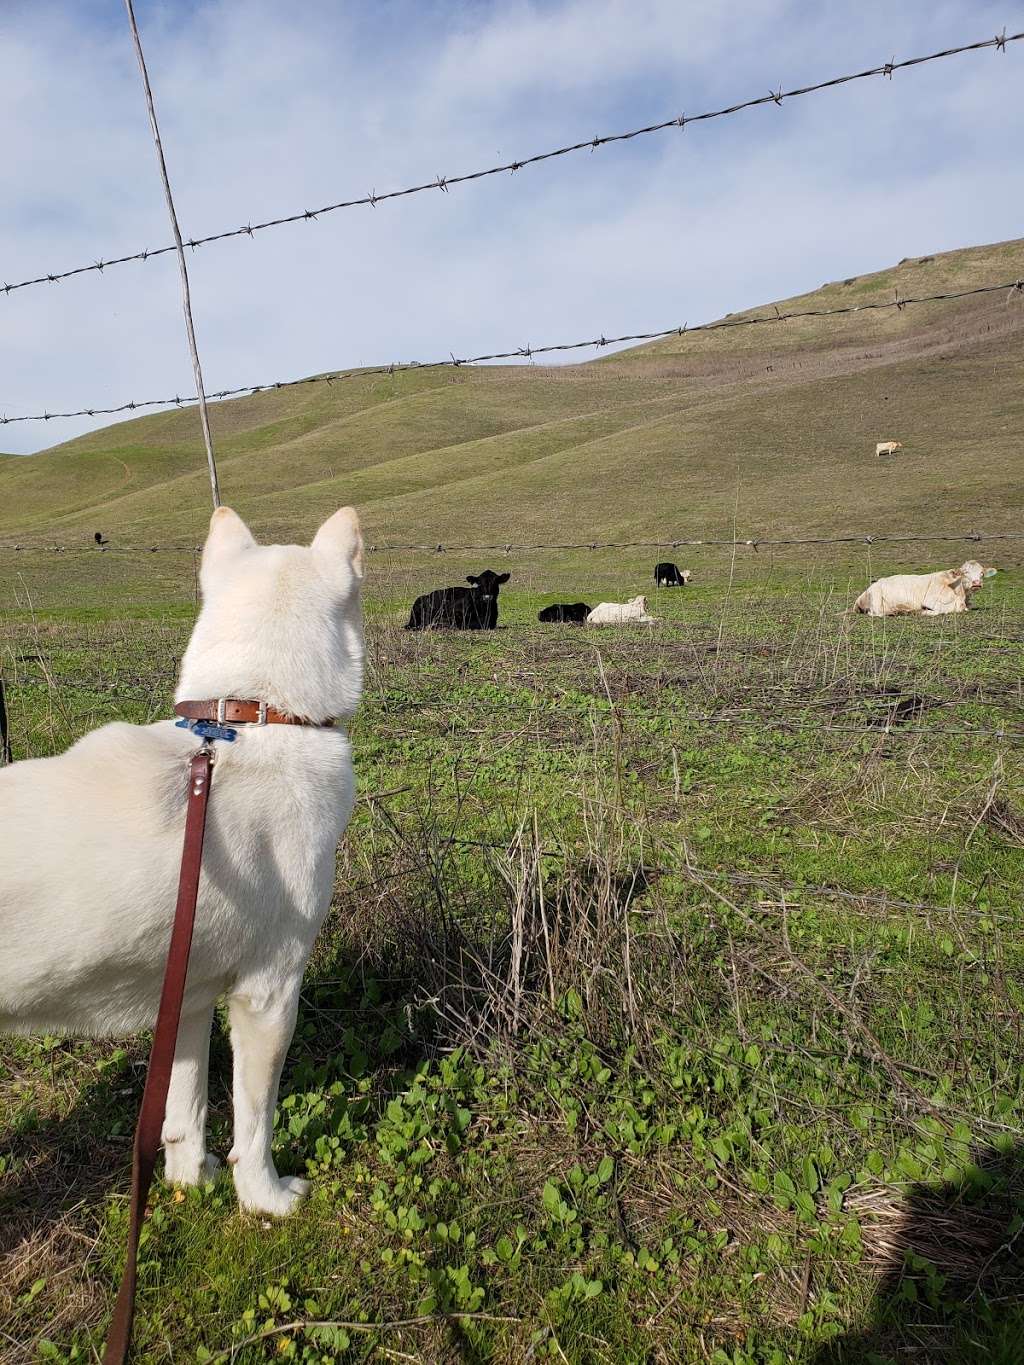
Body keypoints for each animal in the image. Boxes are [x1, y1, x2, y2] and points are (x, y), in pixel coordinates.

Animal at [0, 507, 365, 1212]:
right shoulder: (268, 993)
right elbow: (254, 1121)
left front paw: (191, 1180)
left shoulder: (189, 997)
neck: (255, 716)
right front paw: (265, 1198)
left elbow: (183, 1114)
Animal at [851, 556, 1004, 616]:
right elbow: (954, 609)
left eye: (982, 573)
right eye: (965, 572)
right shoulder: (932, 600)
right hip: (877, 602)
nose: (976, 583)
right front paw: (923, 611)